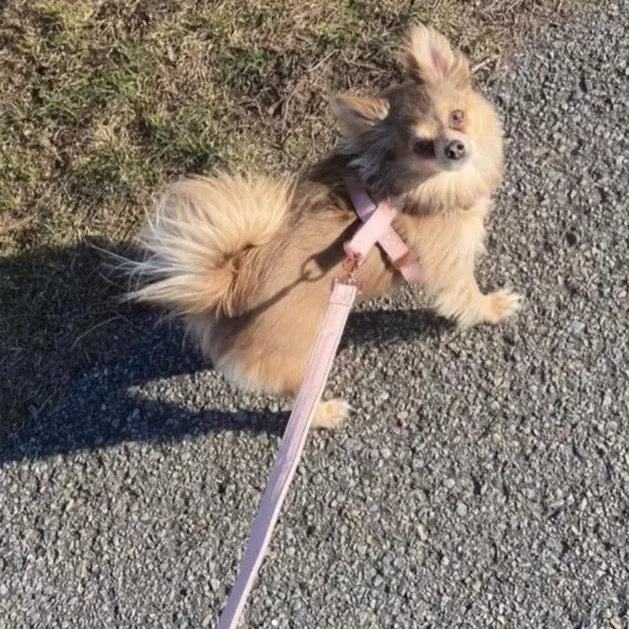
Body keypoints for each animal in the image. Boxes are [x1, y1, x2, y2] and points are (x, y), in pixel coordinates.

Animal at [126, 23, 520, 426]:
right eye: (421, 147)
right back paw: (327, 414)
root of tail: (230, 288)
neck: (419, 186)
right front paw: (495, 307)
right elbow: (469, 298)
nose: (454, 148)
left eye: (457, 116)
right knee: (295, 398)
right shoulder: (452, 270)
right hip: (300, 363)